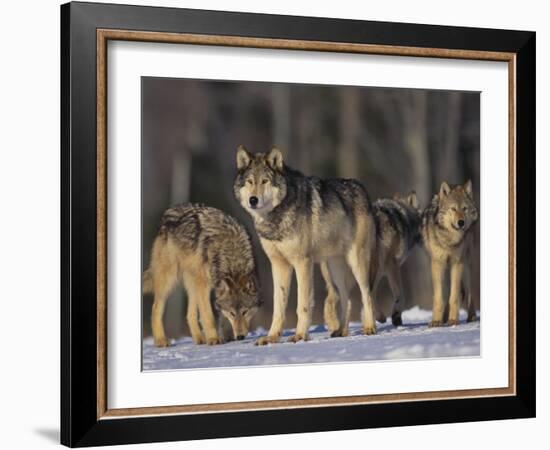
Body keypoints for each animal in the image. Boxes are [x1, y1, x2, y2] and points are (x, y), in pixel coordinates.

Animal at [142, 202, 264, 346]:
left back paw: (199, 339)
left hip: (193, 282)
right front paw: (213, 339)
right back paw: (161, 340)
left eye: (245, 312)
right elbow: (208, 315)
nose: (240, 337)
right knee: (156, 308)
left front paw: (227, 337)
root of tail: (169, 212)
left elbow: (220, 316)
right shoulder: (205, 285)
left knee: (190, 314)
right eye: (232, 313)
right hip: (170, 279)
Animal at [233, 145, 380, 344]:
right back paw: (341, 331)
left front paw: (300, 335)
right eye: (249, 181)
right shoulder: (278, 265)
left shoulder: (302, 262)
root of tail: (362, 188)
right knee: (347, 299)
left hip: (356, 263)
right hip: (333, 268)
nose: (253, 200)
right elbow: (278, 306)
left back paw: (369, 328)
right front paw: (271, 337)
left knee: (367, 294)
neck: (275, 218)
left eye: (264, 181)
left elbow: (302, 304)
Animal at [326, 189, 424, 330]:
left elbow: (371, 294)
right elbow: (399, 295)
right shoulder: (391, 266)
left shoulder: (379, 271)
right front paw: (394, 316)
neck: (402, 217)